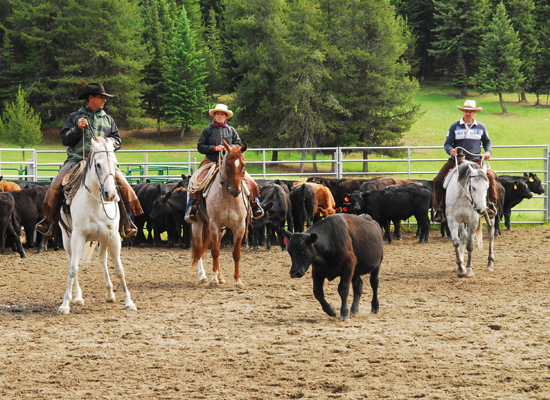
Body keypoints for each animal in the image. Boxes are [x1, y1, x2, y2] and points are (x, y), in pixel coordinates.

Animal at [58, 139, 137, 314]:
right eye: (98, 165)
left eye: (115, 163)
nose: (111, 195)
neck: (96, 204)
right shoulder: (78, 237)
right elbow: (73, 269)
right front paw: (65, 304)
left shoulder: (113, 237)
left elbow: (119, 269)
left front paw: (129, 302)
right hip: (67, 239)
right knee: (72, 261)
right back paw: (77, 297)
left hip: (104, 239)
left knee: (102, 258)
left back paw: (109, 294)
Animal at [191, 139, 249, 286]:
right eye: (228, 164)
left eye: (243, 165)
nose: (235, 191)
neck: (228, 197)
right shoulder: (214, 225)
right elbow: (215, 252)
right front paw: (213, 279)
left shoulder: (239, 227)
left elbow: (236, 253)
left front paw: (238, 280)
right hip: (197, 225)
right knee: (199, 249)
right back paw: (203, 276)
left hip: (220, 230)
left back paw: (220, 276)